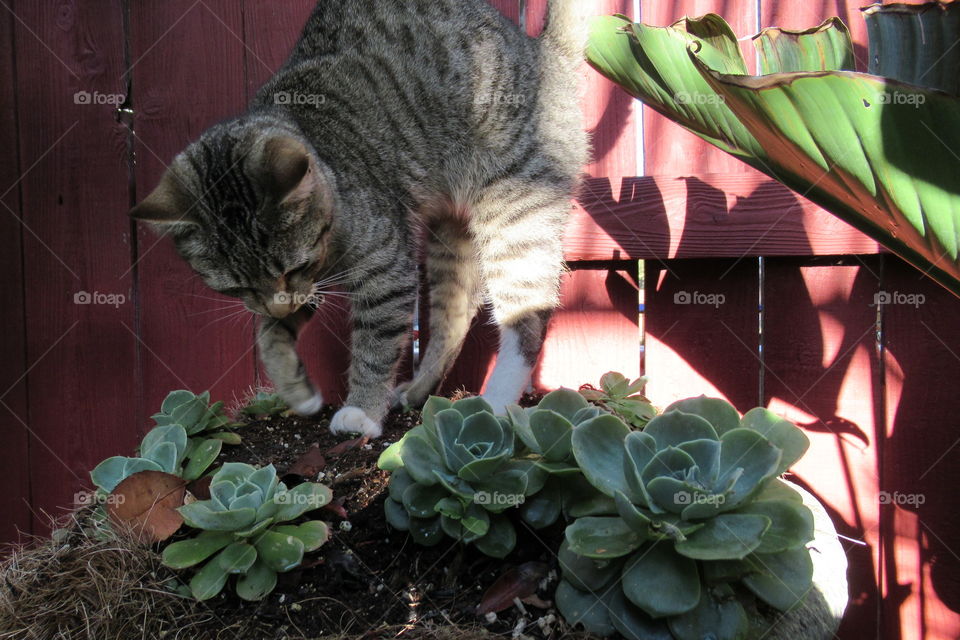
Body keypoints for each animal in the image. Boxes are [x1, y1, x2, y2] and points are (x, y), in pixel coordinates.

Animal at [131, 0, 588, 438]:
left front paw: (362, 411)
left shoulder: (384, 272)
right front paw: (296, 388)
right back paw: (421, 390)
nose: (279, 304)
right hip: (451, 239)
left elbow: (374, 346)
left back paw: (493, 406)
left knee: (526, 322)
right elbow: (269, 334)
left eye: (294, 266)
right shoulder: (306, 287)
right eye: (236, 287)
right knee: (453, 315)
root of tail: (543, 53)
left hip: (515, 216)